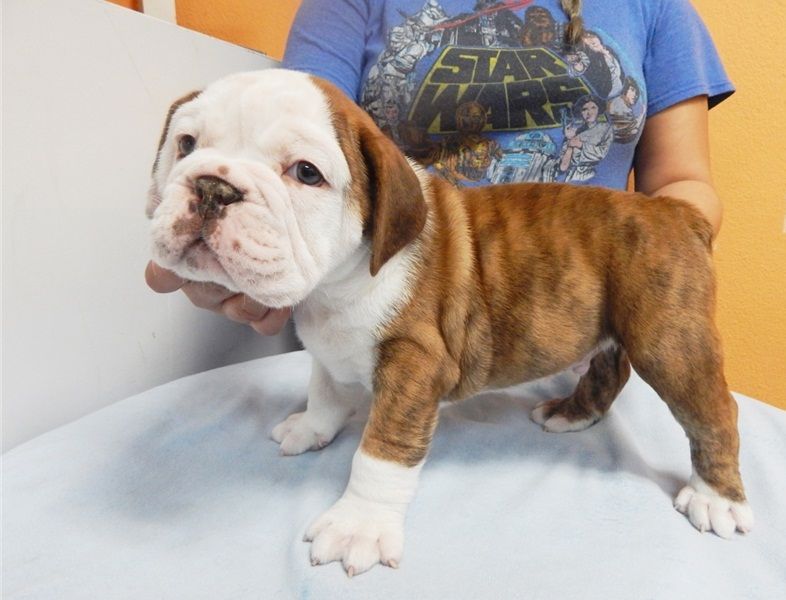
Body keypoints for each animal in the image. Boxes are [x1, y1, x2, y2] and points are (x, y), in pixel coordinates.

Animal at [147, 69, 752, 577]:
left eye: (305, 173)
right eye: (186, 144)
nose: (213, 187)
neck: (336, 285)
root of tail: (676, 213)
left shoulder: (415, 363)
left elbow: (382, 450)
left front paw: (358, 525)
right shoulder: (330, 346)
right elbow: (325, 388)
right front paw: (312, 427)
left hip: (669, 341)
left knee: (714, 412)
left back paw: (715, 497)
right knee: (610, 370)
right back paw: (573, 413)